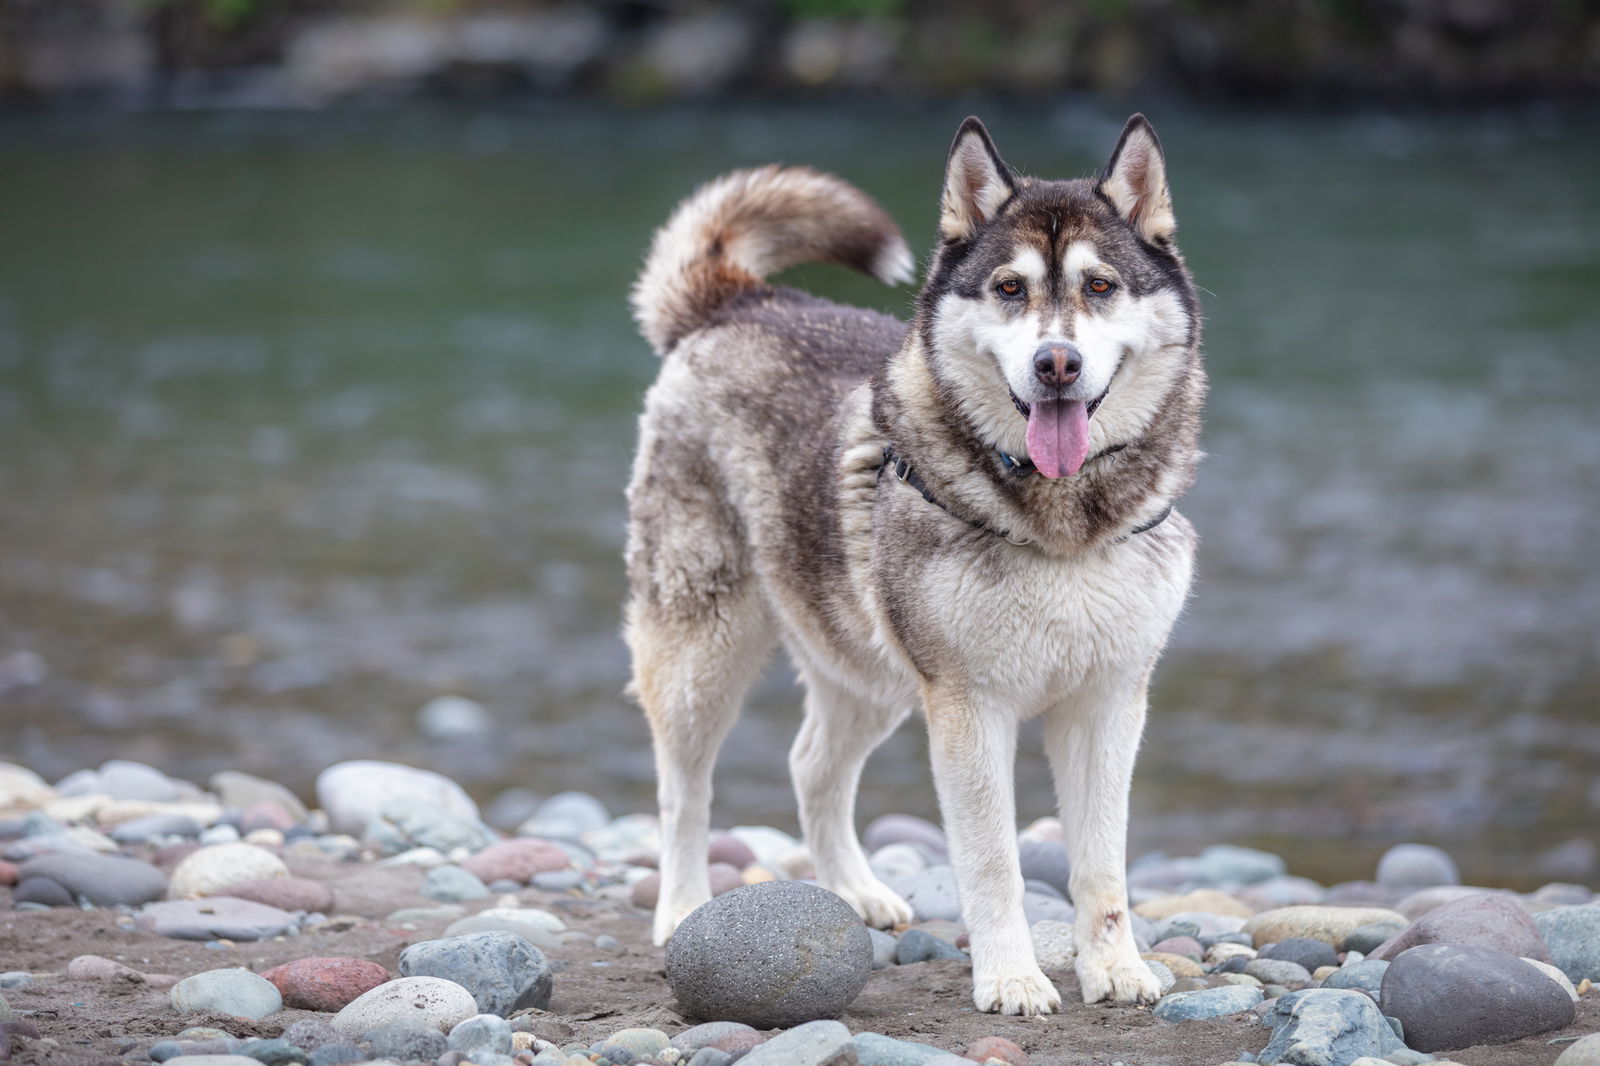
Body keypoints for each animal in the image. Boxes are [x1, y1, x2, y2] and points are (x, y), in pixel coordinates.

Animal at [620, 116, 1203, 1011]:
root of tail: (742, 300)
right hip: (703, 653)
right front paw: (1011, 978)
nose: (1057, 364)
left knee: (812, 767)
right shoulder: (967, 708)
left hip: (870, 670)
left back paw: (852, 891)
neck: (1060, 523)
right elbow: (993, 863)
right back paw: (683, 908)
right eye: (1009, 288)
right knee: (684, 790)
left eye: (1101, 285)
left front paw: (1115, 968)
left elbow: (1103, 863)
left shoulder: (1109, 703)